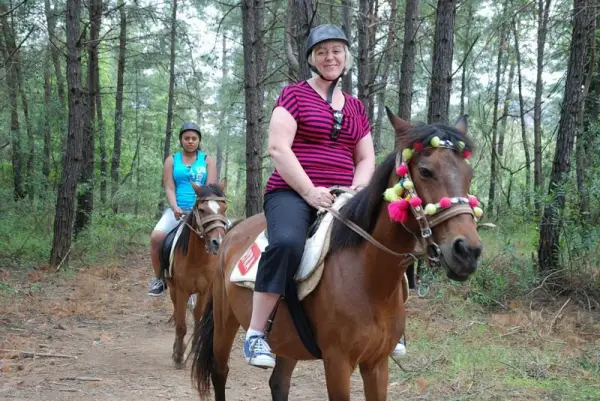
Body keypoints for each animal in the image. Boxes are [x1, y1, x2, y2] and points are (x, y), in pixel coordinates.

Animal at [161, 180, 229, 368]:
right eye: (202, 209)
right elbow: (181, 325)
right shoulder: (182, 290)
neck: (197, 259)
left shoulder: (204, 291)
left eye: (224, 208)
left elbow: (198, 318)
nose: (218, 242)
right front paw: (179, 355)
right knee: (178, 314)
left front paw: (194, 351)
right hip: (173, 289)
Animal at [192, 111, 482, 398]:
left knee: (279, 382)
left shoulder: (377, 364)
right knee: (220, 372)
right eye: (425, 171)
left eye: (469, 174)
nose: (468, 251)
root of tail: (232, 231)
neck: (368, 276)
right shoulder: (338, 363)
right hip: (224, 321)